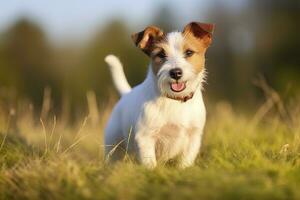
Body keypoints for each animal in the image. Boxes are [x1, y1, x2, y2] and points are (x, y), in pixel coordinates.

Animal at [104, 22, 214, 169]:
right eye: (161, 54)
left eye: (189, 52)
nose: (175, 73)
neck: (174, 100)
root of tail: (126, 94)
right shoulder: (145, 137)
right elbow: (150, 162)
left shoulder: (193, 137)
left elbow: (185, 161)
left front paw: (183, 170)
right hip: (113, 144)